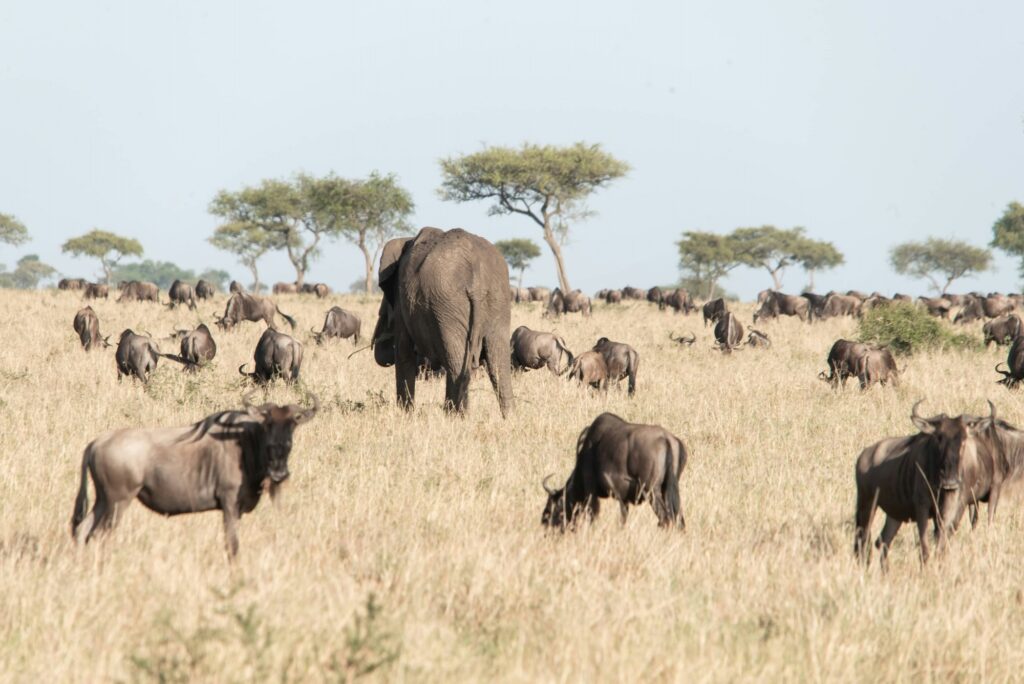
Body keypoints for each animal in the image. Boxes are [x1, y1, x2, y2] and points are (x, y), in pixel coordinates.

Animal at [371, 227, 514, 417]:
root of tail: (477, 280)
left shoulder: (402, 301)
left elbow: (403, 354)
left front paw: (405, 415)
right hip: (497, 298)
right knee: (498, 363)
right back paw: (508, 418)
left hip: (447, 304)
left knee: (457, 364)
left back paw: (454, 416)